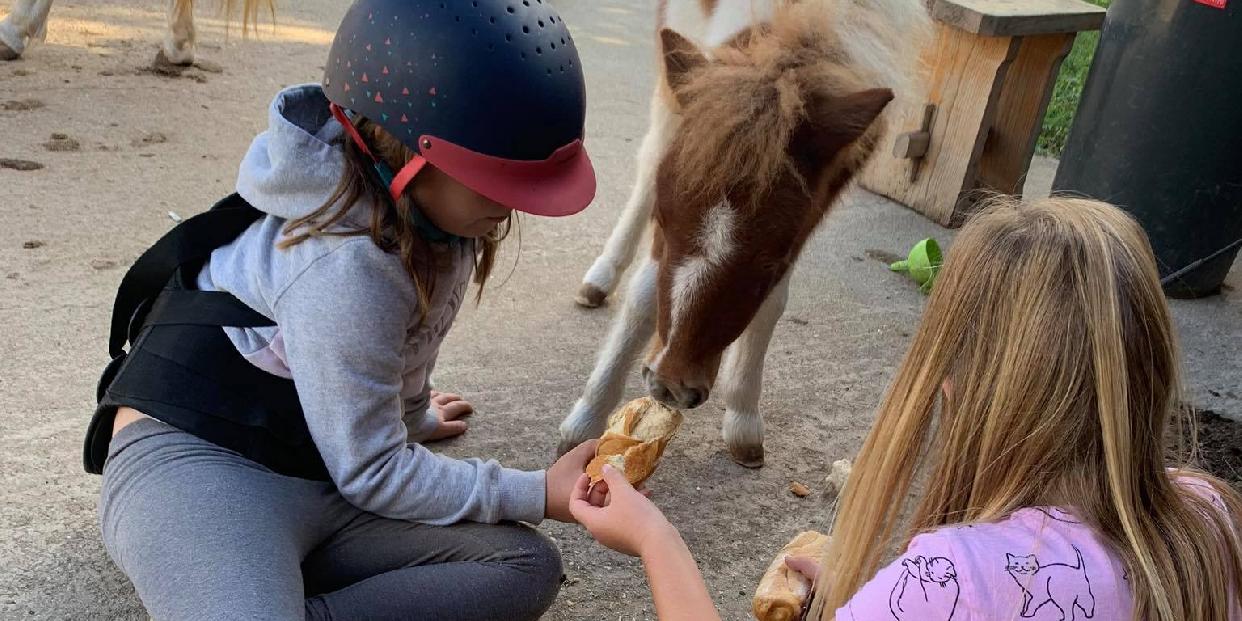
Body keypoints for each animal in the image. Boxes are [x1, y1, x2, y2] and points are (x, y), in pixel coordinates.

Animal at [558, 0, 929, 466]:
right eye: (663, 219)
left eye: (771, 258)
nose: (670, 385)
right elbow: (645, 294)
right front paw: (586, 421)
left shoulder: (813, 212)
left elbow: (771, 306)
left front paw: (743, 418)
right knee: (646, 162)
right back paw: (602, 277)